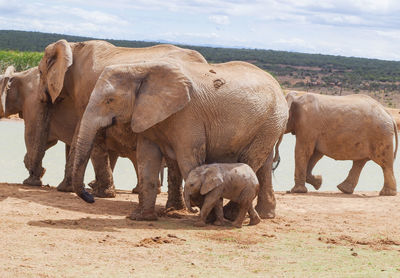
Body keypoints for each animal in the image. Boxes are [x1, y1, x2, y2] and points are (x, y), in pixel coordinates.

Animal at [28, 39, 206, 206]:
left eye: (40, 72)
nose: (34, 180)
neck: (74, 47)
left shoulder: (87, 91)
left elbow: (88, 132)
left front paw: (90, 192)